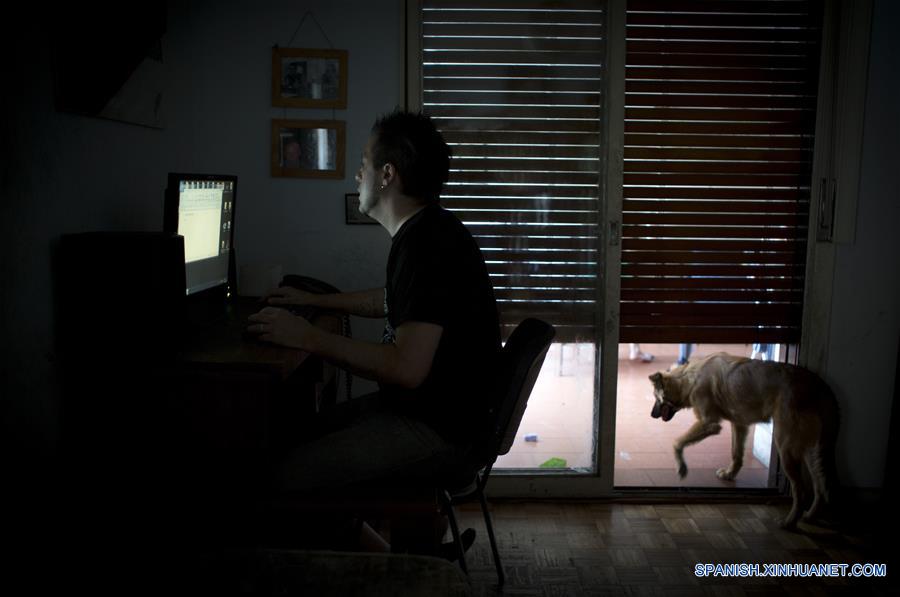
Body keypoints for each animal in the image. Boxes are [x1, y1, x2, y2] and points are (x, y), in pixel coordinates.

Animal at [652, 352, 840, 528]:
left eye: (655, 398)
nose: (651, 415)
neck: (689, 377)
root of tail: (819, 385)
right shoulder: (739, 424)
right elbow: (736, 454)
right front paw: (730, 474)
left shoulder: (710, 424)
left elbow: (677, 442)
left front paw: (682, 467)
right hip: (811, 450)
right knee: (821, 488)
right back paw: (809, 516)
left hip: (785, 446)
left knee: (800, 491)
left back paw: (789, 522)